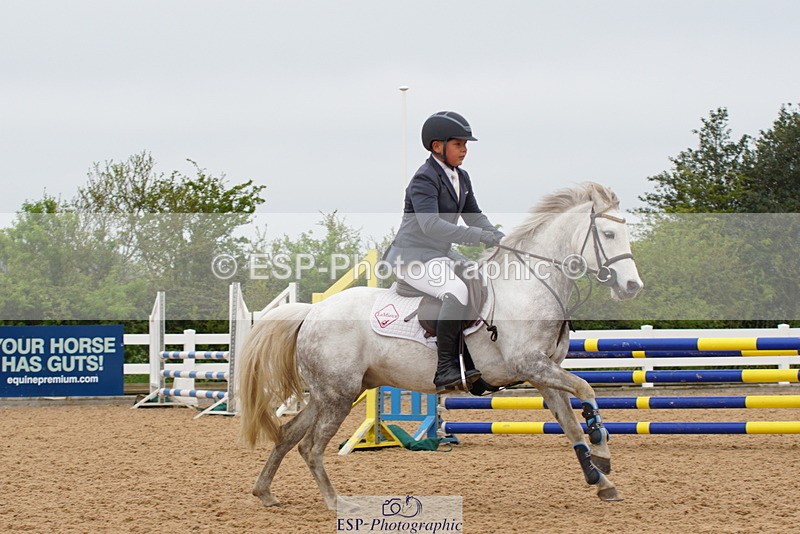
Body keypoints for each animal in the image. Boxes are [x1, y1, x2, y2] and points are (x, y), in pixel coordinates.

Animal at [238, 182, 643, 510]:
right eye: (608, 234)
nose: (632, 287)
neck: (529, 285)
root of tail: (313, 311)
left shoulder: (543, 374)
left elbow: (571, 425)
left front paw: (601, 481)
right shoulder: (531, 365)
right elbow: (587, 388)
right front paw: (602, 452)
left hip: (329, 393)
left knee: (289, 435)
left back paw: (265, 493)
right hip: (339, 394)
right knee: (310, 446)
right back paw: (336, 502)